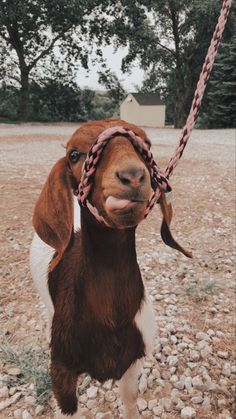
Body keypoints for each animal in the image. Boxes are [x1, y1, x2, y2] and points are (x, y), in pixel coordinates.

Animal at [30, 120, 190, 418]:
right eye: (74, 154)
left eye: (146, 146)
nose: (133, 176)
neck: (110, 318)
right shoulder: (61, 375)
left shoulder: (133, 362)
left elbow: (130, 401)